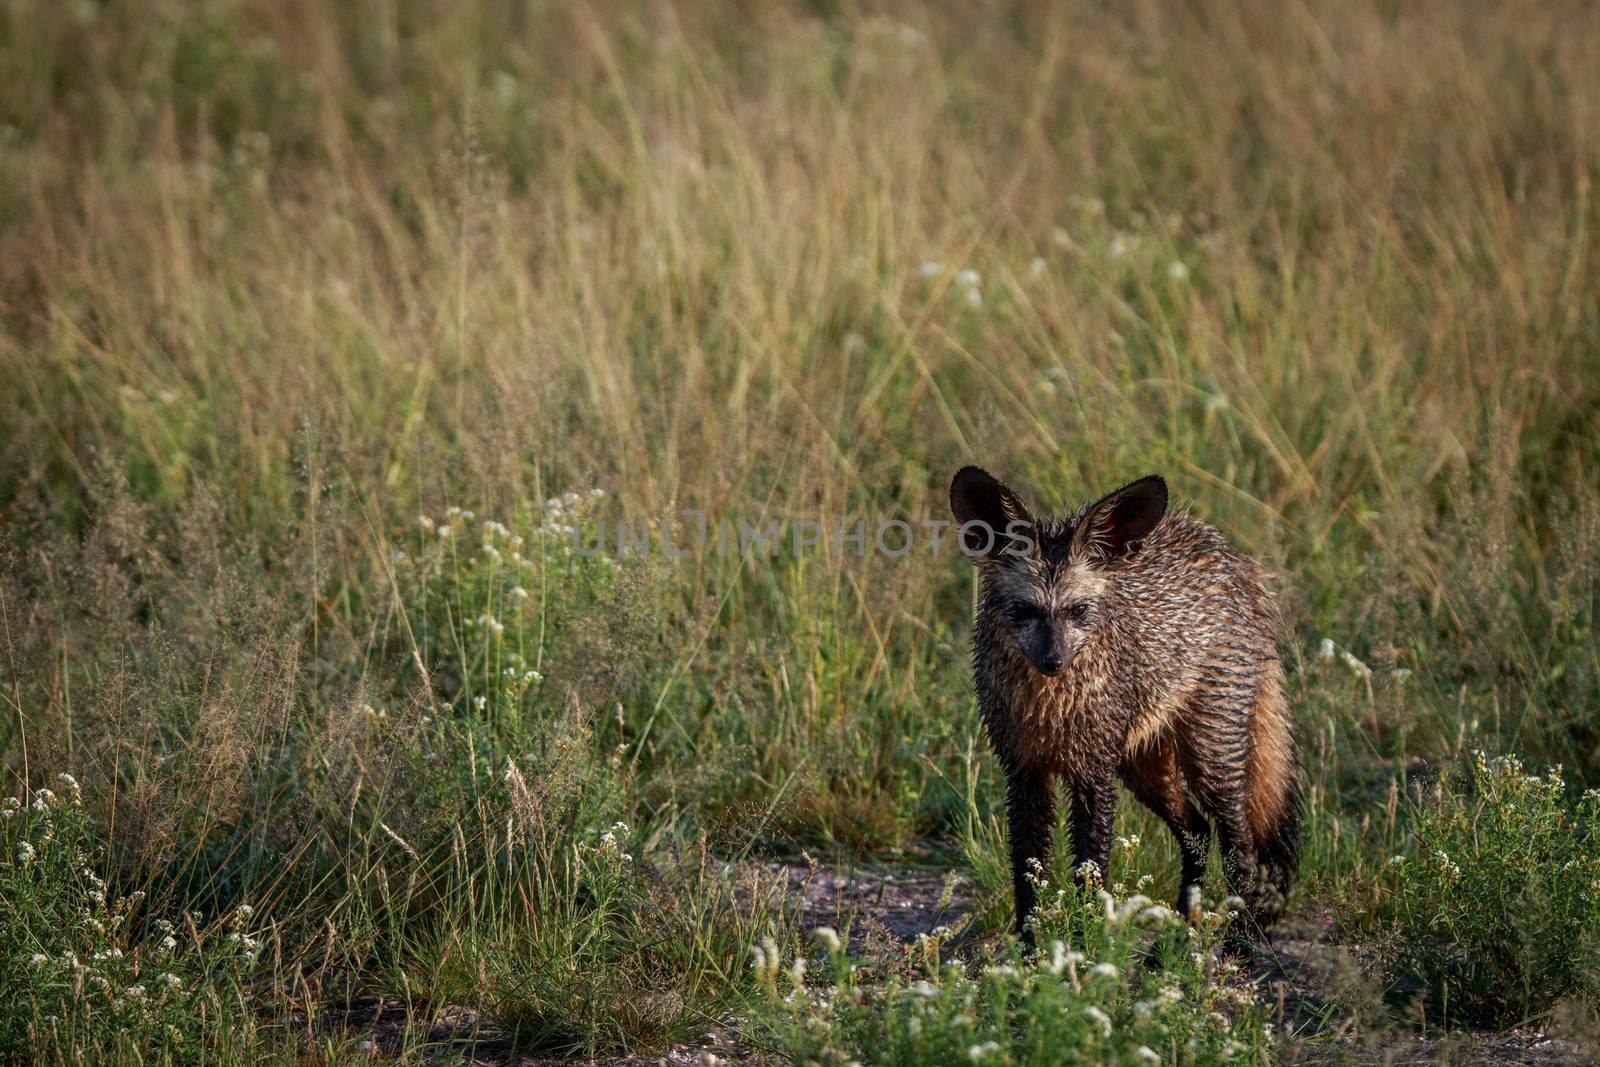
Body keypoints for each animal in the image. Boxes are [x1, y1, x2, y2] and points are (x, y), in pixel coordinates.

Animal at [947, 467, 1299, 940]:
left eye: (1079, 610)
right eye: (1024, 609)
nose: (1053, 662)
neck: (1050, 712)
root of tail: (1234, 559)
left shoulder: (1094, 775)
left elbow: (1089, 872)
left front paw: (1080, 947)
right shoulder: (1024, 772)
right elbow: (1028, 876)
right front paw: (1031, 950)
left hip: (1211, 757)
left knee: (1238, 845)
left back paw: (1238, 940)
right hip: (1145, 768)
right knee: (1197, 831)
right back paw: (1180, 932)